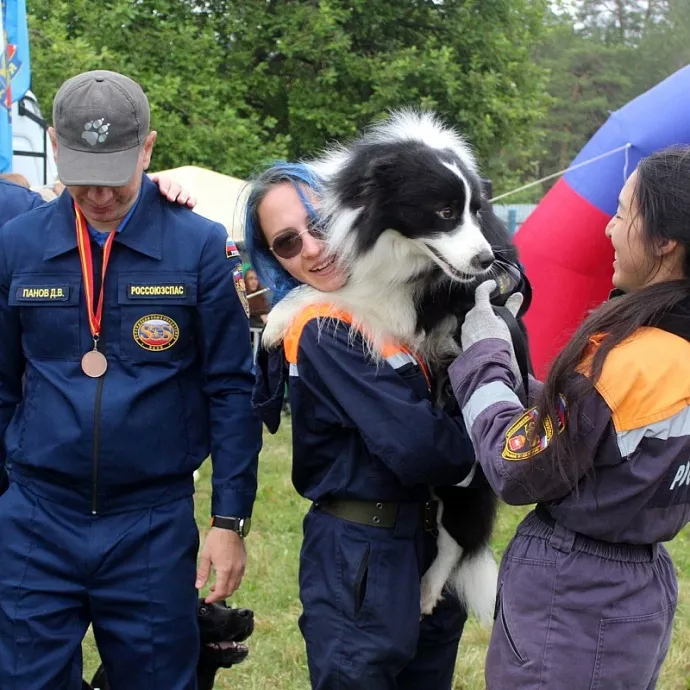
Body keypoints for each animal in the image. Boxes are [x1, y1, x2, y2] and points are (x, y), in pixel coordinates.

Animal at [264, 109, 528, 624]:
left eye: (475, 211)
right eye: (444, 212)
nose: (486, 260)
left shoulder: (412, 308)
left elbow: (340, 294)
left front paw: (275, 320)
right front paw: (277, 317)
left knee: (458, 535)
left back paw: (427, 589)